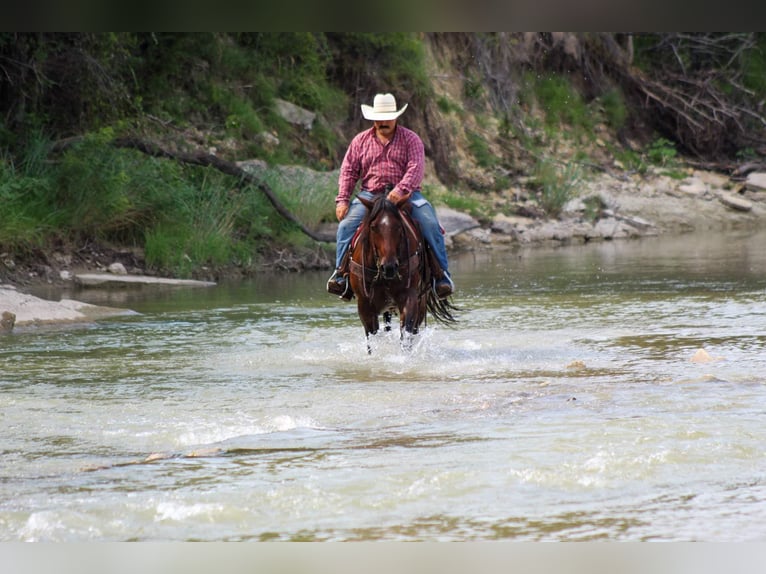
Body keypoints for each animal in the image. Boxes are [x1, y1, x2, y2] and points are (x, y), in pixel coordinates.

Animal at [348, 196, 456, 354]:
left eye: (399, 226)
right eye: (373, 227)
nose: (389, 267)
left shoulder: (410, 298)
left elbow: (406, 335)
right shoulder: (364, 304)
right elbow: (372, 339)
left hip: (421, 301)